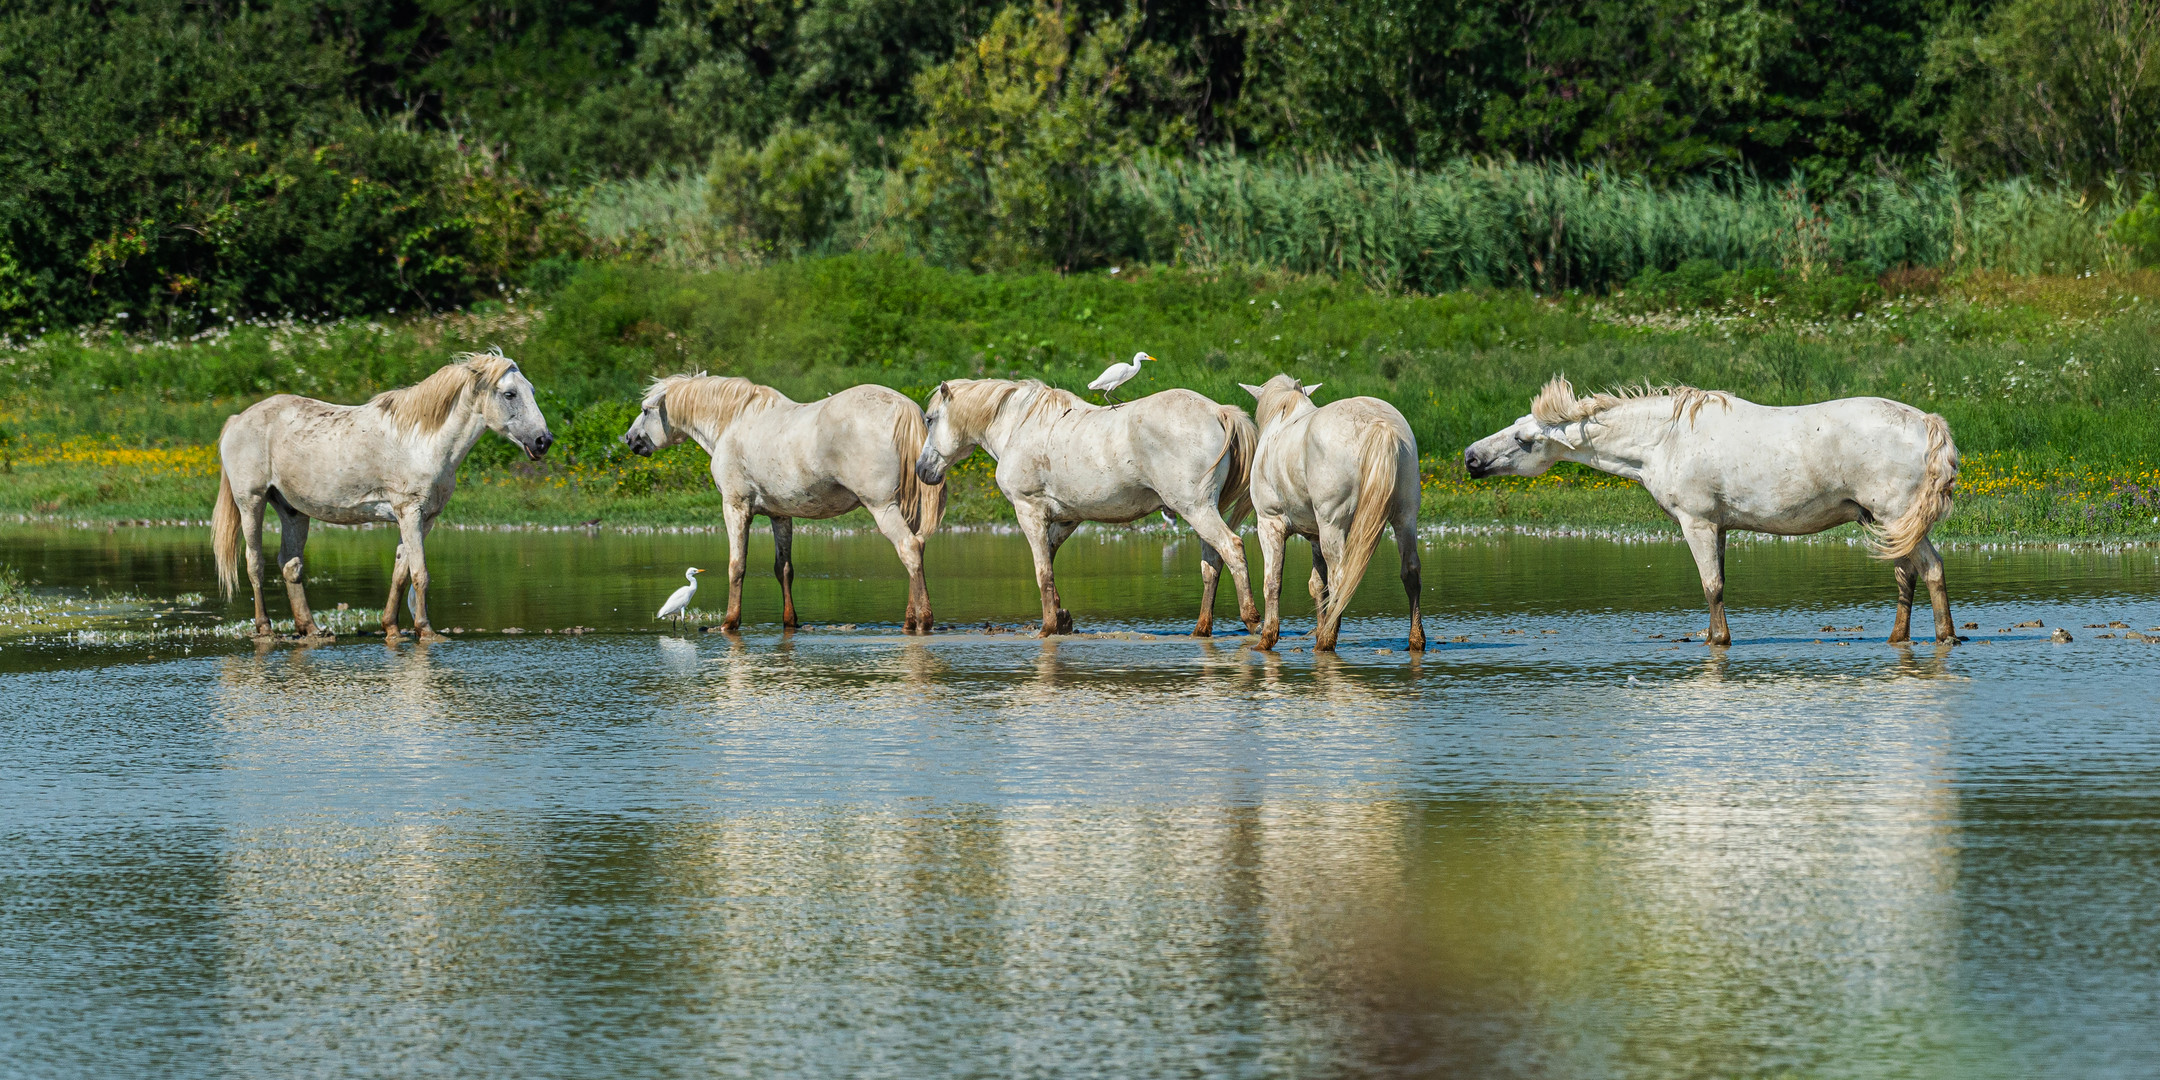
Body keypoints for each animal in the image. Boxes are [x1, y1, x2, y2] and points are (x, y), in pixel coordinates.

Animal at [212, 349, 557, 639]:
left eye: (531, 391)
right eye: (510, 393)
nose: (543, 441)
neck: (423, 441)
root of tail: (237, 420)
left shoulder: (425, 519)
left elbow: (401, 571)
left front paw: (392, 628)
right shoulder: (409, 513)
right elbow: (420, 573)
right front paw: (426, 631)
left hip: (293, 511)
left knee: (290, 565)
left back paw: (312, 630)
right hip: (251, 502)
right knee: (254, 562)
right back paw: (265, 628)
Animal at [613, 375, 941, 630]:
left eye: (645, 410)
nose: (629, 438)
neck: (733, 421)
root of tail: (904, 407)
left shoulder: (735, 507)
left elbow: (737, 566)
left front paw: (730, 621)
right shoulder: (780, 515)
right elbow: (783, 568)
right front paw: (790, 620)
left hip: (882, 507)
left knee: (909, 549)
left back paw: (922, 621)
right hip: (907, 509)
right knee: (918, 548)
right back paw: (911, 619)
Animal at [915, 378, 1261, 635]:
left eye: (930, 420)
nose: (921, 470)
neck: (1020, 426)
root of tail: (1218, 411)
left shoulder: (1029, 511)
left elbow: (1042, 571)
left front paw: (1048, 627)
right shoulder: (1067, 519)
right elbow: (1050, 563)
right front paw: (1061, 618)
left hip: (1196, 509)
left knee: (1232, 549)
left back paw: (1253, 621)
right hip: (1205, 510)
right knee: (1212, 564)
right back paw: (1201, 629)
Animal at [1244, 375, 1425, 652]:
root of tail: (1379, 424)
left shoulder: (1269, 523)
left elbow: (1272, 582)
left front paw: (1267, 639)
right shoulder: (1315, 536)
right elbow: (1318, 585)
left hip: (1333, 524)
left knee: (1341, 577)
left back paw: (1326, 641)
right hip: (1405, 516)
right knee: (1410, 570)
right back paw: (1415, 639)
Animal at [1468, 378, 1961, 643]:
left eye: (1524, 440)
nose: (1472, 458)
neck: (1664, 440)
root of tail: (1927, 423)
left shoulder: (1698, 523)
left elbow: (1712, 586)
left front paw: (1718, 641)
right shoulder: (1720, 528)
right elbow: (1718, 583)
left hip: (1896, 518)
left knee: (1931, 569)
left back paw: (1946, 637)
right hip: (1888, 524)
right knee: (1907, 576)